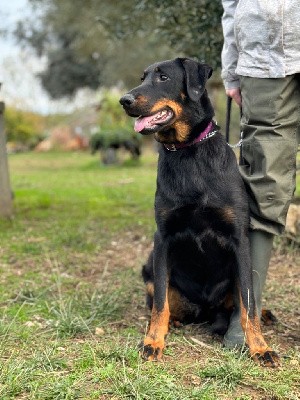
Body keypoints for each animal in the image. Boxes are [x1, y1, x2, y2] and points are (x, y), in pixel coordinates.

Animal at [119, 57, 278, 368]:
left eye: (163, 77)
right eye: (142, 78)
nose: (124, 100)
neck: (188, 151)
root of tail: (206, 309)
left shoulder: (239, 240)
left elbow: (248, 305)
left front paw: (260, 346)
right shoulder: (163, 238)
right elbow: (160, 304)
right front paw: (153, 340)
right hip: (149, 266)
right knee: (161, 301)